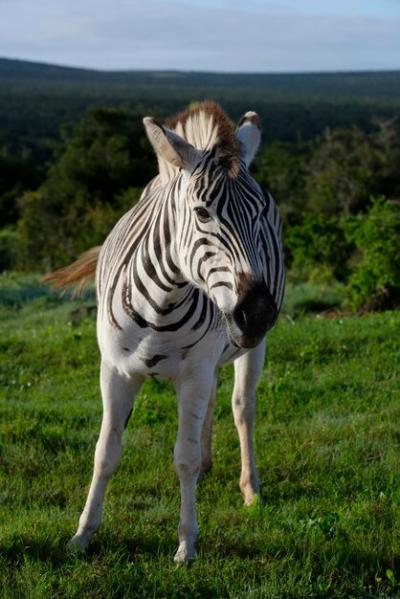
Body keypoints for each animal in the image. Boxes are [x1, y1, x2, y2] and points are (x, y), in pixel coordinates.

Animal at [46, 101, 284, 564]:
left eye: (263, 214)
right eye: (202, 213)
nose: (259, 313)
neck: (161, 303)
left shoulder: (194, 372)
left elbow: (184, 458)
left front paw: (186, 545)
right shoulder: (114, 371)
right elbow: (105, 452)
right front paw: (82, 535)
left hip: (249, 351)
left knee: (242, 407)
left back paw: (250, 489)